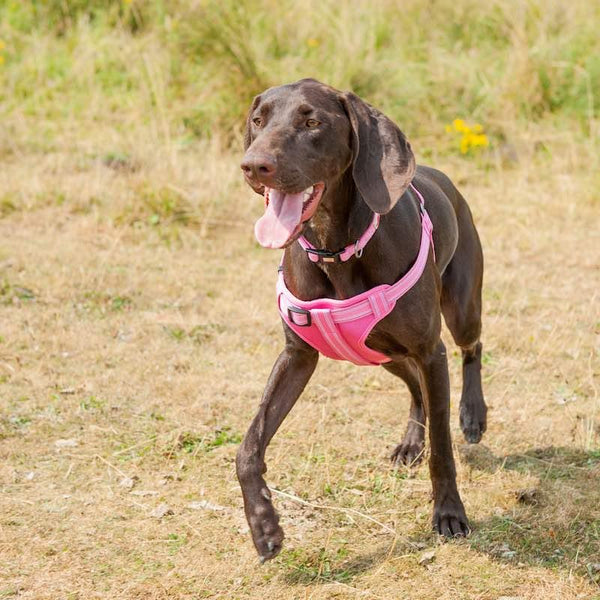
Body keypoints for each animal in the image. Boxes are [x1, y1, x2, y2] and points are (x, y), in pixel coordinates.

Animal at [237, 78, 486, 564]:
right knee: (415, 388)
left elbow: (443, 448)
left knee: (471, 348)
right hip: (379, 353)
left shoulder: (431, 350)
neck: (336, 249)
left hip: (460, 311)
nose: (255, 166)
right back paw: (411, 441)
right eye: (258, 120)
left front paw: (449, 512)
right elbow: (249, 445)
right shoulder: (297, 356)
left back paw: (473, 414)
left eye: (312, 122)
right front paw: (263, 526)